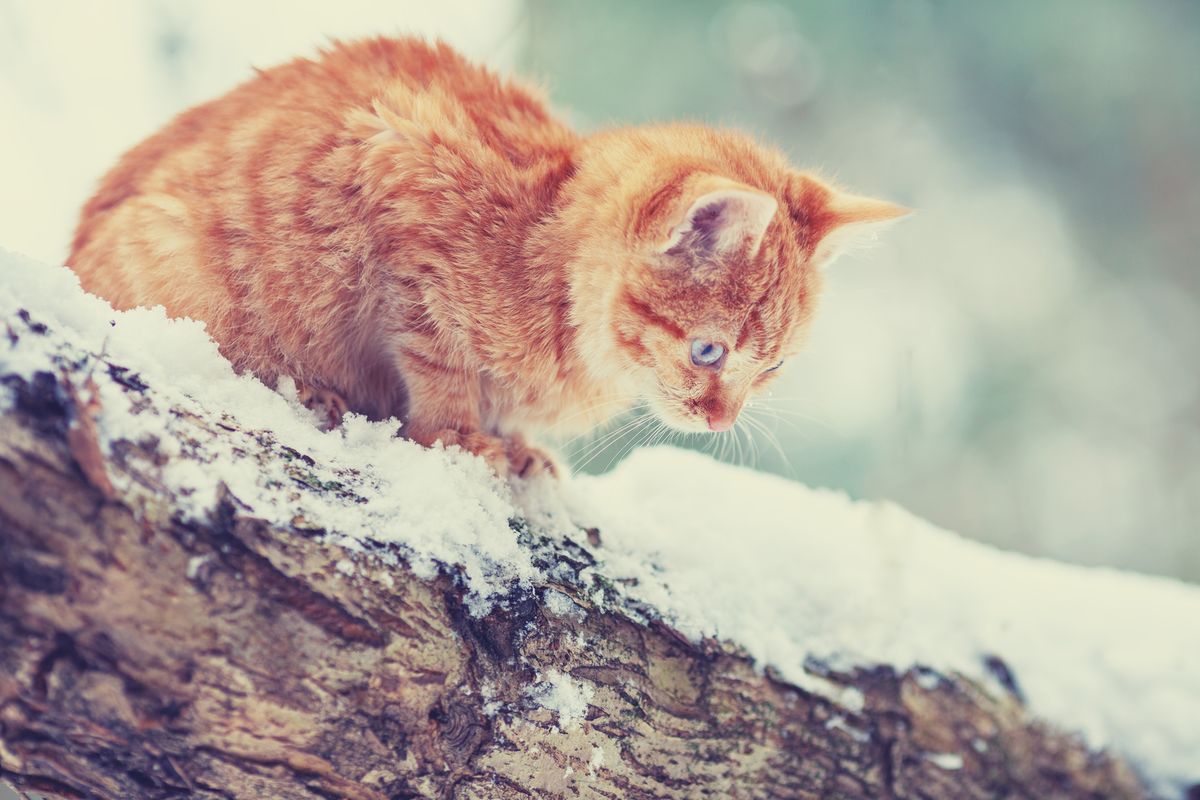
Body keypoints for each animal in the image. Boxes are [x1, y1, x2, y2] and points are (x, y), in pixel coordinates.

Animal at [68, 35, 902, 474]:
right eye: (708, 352)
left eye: (773, 366)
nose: (724, 420)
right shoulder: (396, 174)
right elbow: (439, 361)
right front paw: (460, 434)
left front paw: (515, 441)